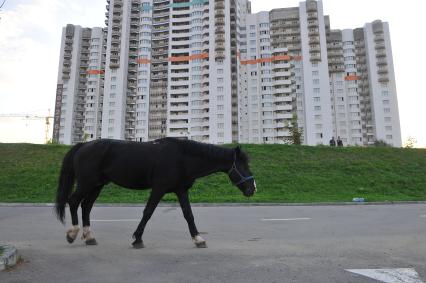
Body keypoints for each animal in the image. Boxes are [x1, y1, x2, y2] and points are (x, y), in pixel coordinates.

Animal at [54, 139, 255, 250]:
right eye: (243, 165)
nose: (252, 189)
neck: (182, 158)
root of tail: (84, 145)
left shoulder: (181, 190)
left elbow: (188, 215)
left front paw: (198, 239)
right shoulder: (158, 189)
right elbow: (148, 212)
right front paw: (137, 239)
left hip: (97, 186)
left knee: (86, 206)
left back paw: (89, 237)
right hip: (86, 184)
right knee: (73, 202)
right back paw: (72, 233)